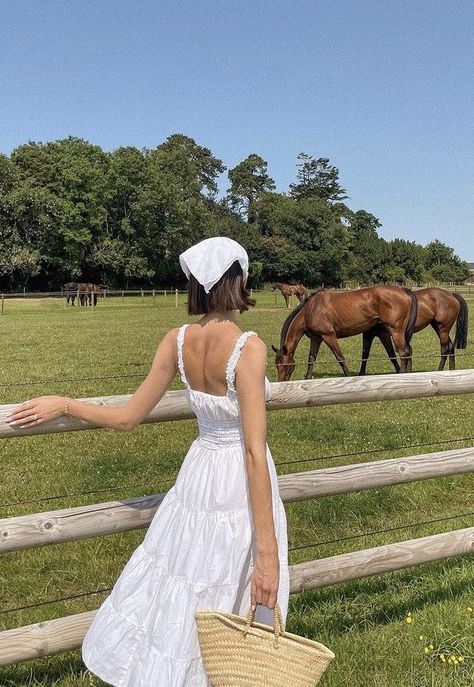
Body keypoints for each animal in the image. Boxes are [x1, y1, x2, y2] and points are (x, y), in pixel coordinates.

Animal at [272, 284, 416, 382]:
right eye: (276, 365)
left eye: (284, 365)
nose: (280, 382)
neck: (311, 309)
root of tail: (405, 291)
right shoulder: (316, 338)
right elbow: (311, 359)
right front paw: (308, 379)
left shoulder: (328, 336)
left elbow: (340, 358)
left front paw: (348, 377)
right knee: (406, 352)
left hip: (395, 330)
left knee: (403, 353)